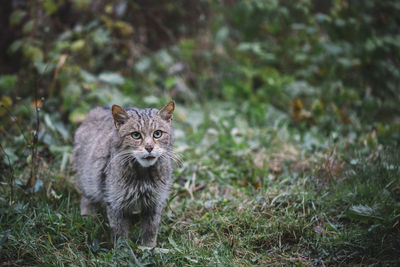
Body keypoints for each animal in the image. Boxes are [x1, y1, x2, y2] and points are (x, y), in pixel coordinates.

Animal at [73, 102, 175, 247]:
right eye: (136, 135)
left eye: (157, 133)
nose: (149, 147)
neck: (143, 175)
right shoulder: (115, 202)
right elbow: (119, 232)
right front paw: (123, 249)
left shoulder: (155, 202)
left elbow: (151, 229)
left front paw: (148, 248)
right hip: (88, 180)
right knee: (86, 199)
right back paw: (88, 216)